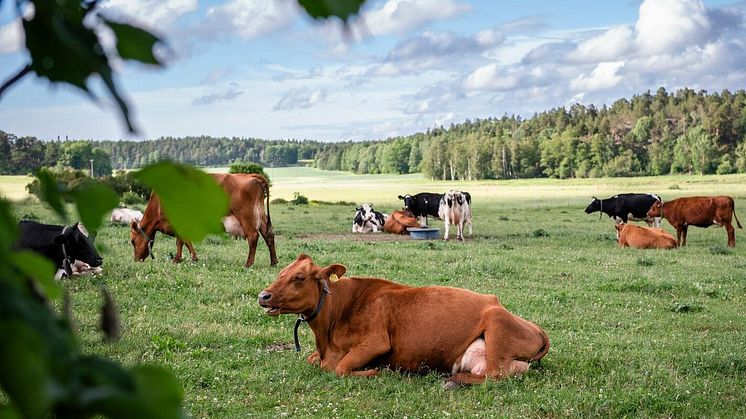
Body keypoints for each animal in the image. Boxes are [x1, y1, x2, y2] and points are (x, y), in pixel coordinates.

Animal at [130, 172, 276, 268]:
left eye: (132, 241)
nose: (136, 259)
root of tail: (252, 175)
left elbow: (184, 241)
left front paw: (192, 258)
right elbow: (180, 241)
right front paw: (178, 259)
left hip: (247, 217)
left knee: (253, 237)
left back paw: (248, 264)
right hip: (261, 216)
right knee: (268, 234)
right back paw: (273, 262)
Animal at [256, 254, 548, 388]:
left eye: (299, 278)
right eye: (281, 272)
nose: (263, 295)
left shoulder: (376, 342)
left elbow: (340, 369)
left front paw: (377, 371)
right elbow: (312, 360)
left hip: (496, 323)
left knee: (495, 375)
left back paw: (450, 380)